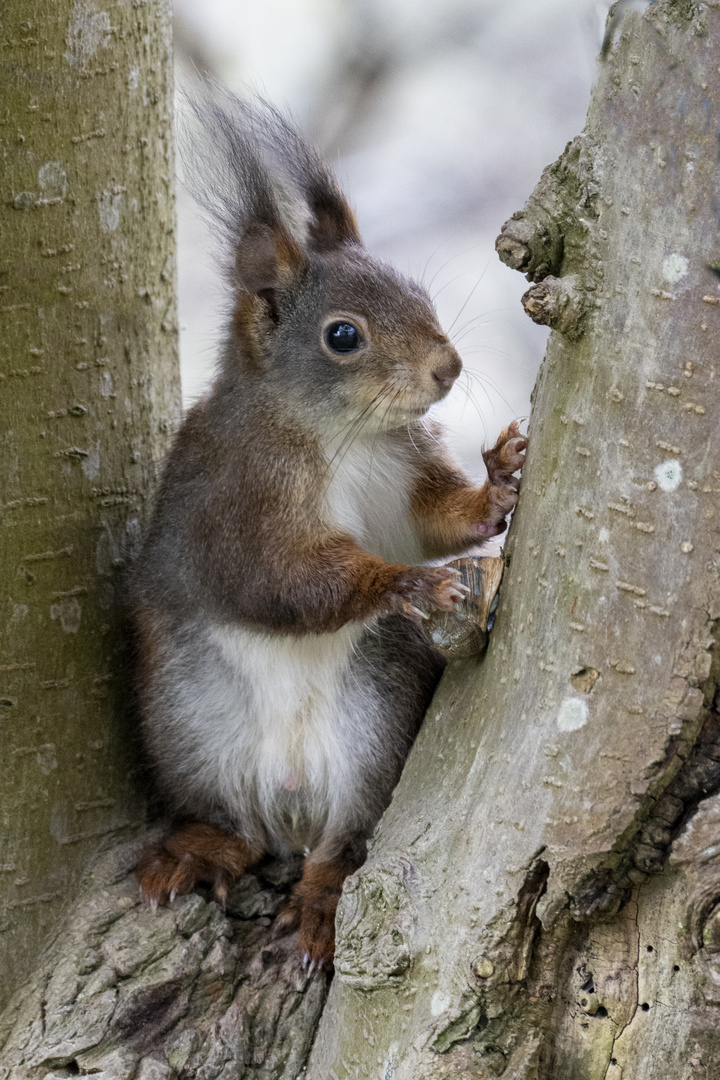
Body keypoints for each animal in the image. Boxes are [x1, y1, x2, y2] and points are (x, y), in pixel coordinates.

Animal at [131, 88, 524, 972]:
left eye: (417, 291)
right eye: (342, 335)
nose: (448, 368)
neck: (348, 438)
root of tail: (292, 799)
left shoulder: (405, 481)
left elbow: (439, 520)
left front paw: (498, 487)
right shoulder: (241, 504)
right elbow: (287, 580)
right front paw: (401, 582)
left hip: (376, 718)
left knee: (342, 842)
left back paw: (317, 902)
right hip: (186, 722)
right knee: (232, 827)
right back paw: (202, 849)